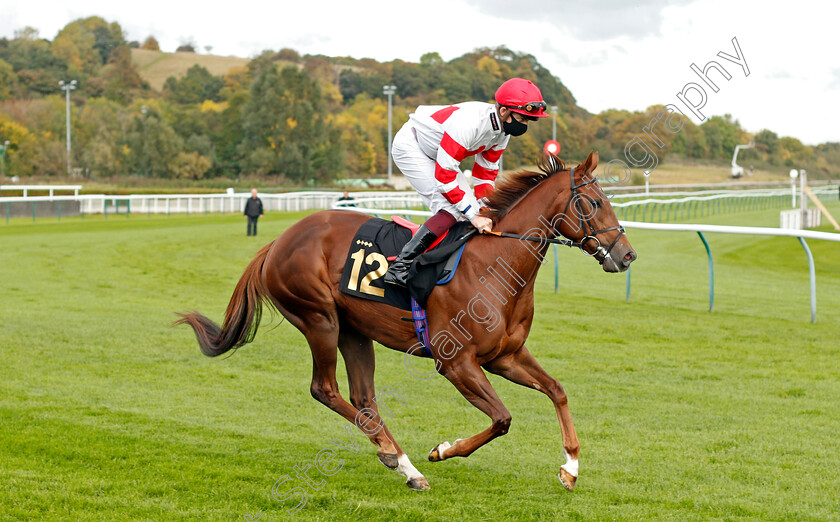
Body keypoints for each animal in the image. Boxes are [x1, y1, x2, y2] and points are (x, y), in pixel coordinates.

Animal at [179, 151, 636, 492]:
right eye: (594, 203)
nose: (627, 254)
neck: (496, 265)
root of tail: (277, 242)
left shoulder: (504, 356)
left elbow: (557, 390)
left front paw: (570, 468)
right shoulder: (456, 363)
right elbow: (502, 419)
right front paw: (443, 449)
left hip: (354, 330)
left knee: (364, 398)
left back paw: (398, 461)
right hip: (318, 318)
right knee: (325, 389)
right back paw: (403, 461)